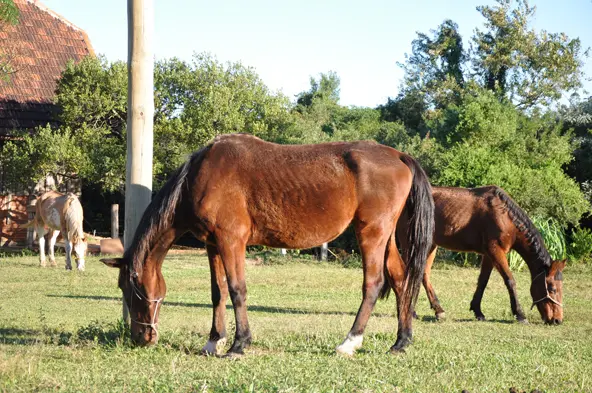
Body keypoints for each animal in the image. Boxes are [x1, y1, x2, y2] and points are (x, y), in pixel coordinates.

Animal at [102, 134, 434, 356]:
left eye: (131, 288)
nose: (141, 337)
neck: (200, 176)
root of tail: (400, 156)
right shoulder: (213, 245)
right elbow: (218, 292)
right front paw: (213, 340)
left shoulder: (231, 241)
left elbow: (237, 289)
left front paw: (239, 344)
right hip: (385, 237)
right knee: (401, 279)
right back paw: (401, 341)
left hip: (372, 234)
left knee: (374, 283)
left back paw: (350, 341)